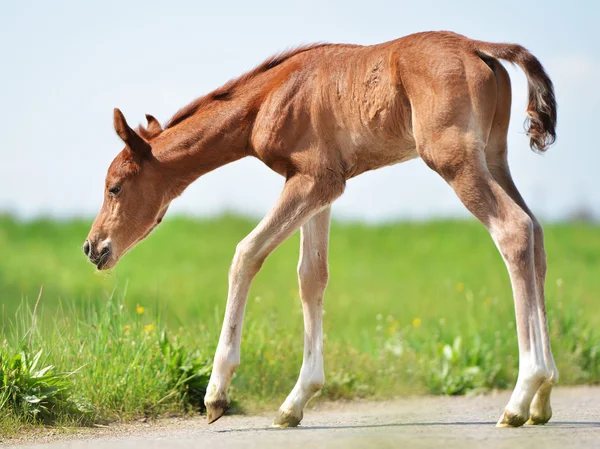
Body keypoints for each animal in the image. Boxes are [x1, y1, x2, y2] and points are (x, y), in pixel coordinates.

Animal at [84, 30, 556, 428]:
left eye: (115, 187)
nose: (93, 247)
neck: (269, 98)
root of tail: (478, 46)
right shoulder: (323, 188)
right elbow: (312, 276)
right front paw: (295, 402)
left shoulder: (312, 179)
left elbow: (246, 253)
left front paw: (216, 394)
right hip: (493, 156)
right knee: (536, 234)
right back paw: (544, 394)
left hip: (454, 159)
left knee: (514, 230)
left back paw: (521, 397)